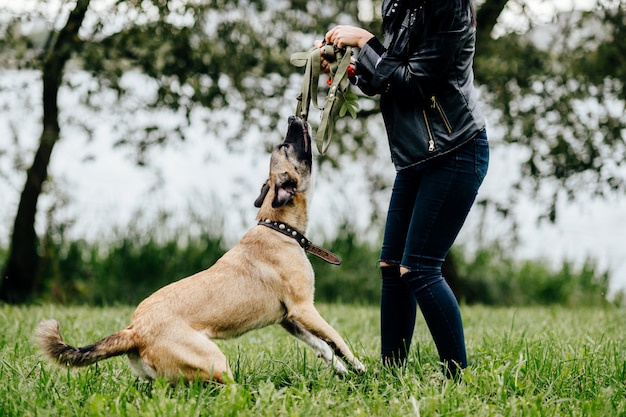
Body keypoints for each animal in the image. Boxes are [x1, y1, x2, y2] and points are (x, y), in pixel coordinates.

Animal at [35, 115, 366, 382]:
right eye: (286, 146)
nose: (293, 118)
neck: (277, 226)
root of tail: (134, 331)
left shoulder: (288, 319)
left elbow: (322, 347)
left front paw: (342, 371)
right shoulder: (303, 309)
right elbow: (337, 340)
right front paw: (360, 368)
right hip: (215, 360)